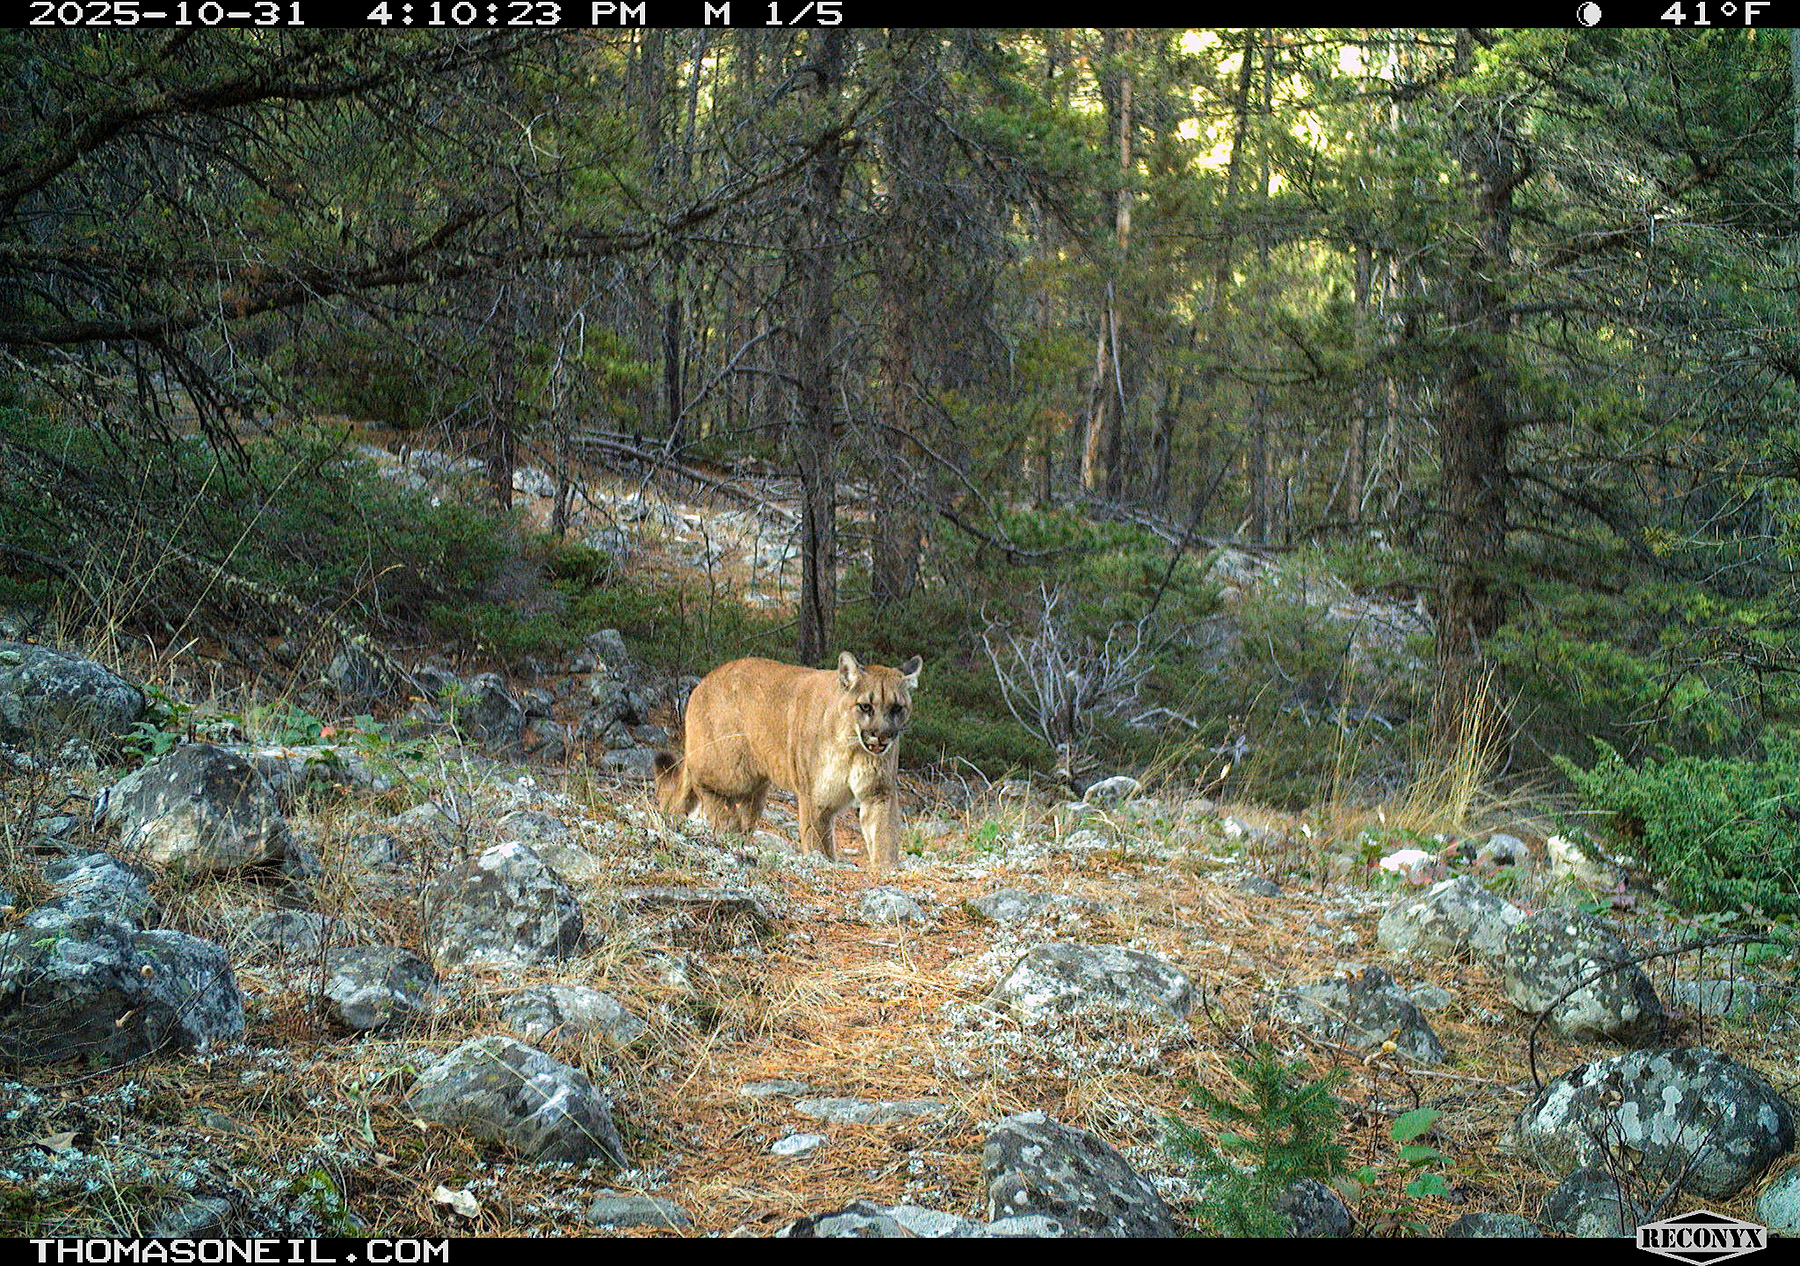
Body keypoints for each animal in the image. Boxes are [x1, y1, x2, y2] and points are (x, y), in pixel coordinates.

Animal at [654, 651, 922, 870]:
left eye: (897, 708)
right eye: (866, 706)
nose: (882, 735)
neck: (853, 746)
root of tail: (702, 683)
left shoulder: (878, 791)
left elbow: (884, 832)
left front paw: (886, 868)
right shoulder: (816, 796)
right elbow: (817, 840)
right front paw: (821, 861)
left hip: (757, 787)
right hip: (730, 769)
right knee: (700, 779)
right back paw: (727, 825)